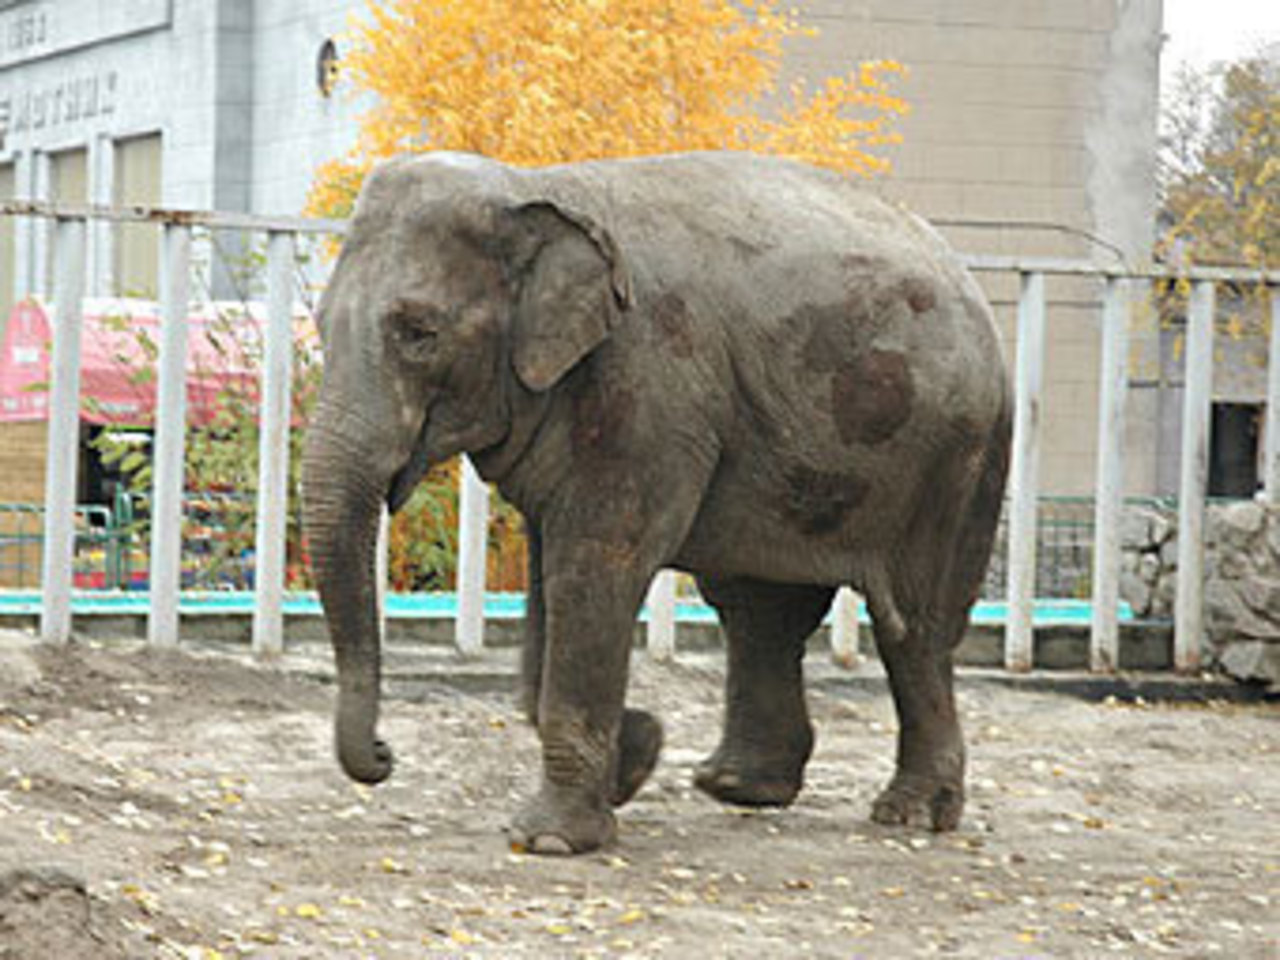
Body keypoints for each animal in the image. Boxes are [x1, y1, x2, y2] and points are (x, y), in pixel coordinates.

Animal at [301, 150, 1011, 855]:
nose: (385, 752)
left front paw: (550, 839)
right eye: (322, 327)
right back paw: (739, 786)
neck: (535, 186)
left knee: (913, 628)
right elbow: (552, 573)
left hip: (956, 459)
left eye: (419, 333)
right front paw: (637, 754)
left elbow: (595, 564)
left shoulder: (647, 387)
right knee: (758, 610)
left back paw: (910, 814)